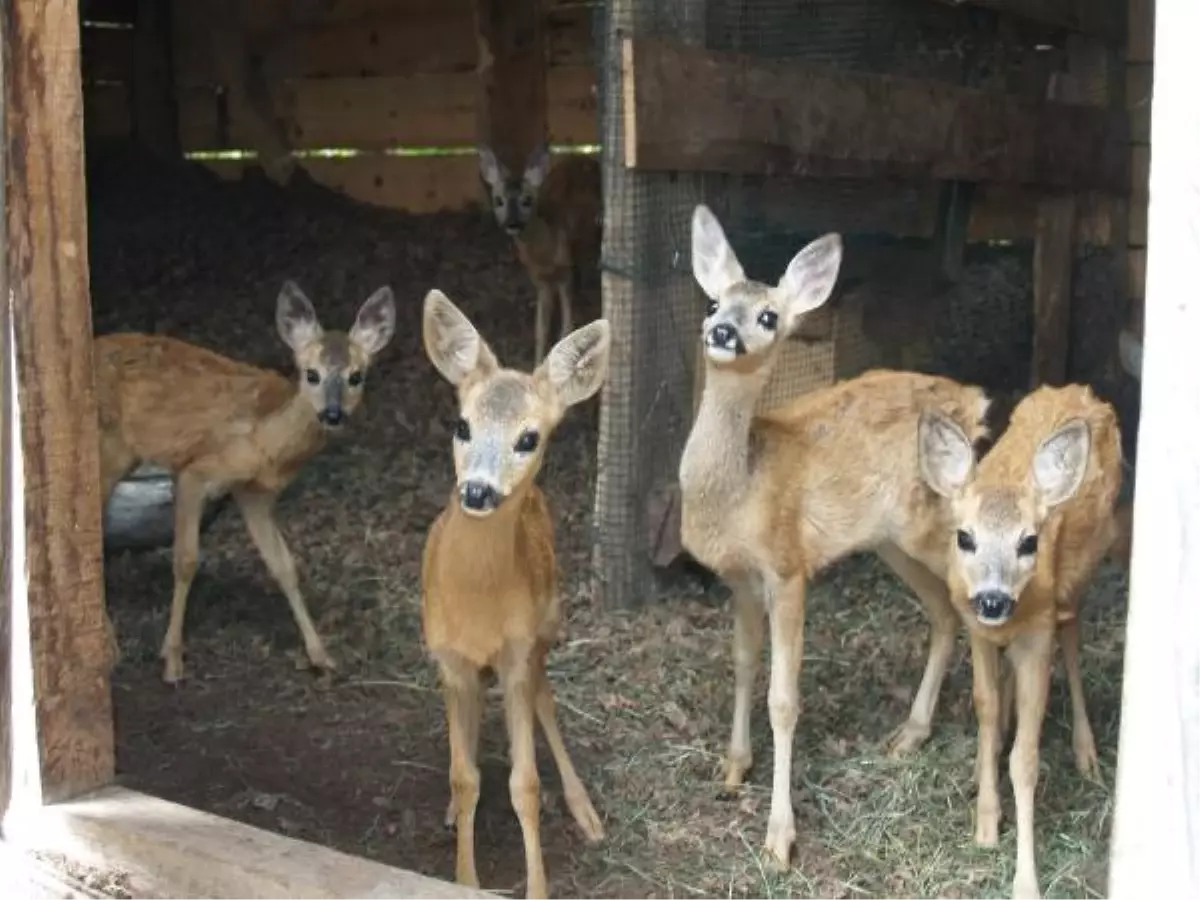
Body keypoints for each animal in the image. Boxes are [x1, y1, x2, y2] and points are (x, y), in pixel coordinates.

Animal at [94, 282, 393, 681]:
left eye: (356, 376)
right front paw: (172, 659)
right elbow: (186, 560)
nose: (332, 414)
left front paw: (321, 656)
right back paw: (109, 643)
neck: (264, 440)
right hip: (107, 446)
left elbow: (284, 566)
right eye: (311, 374)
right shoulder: (196, 471)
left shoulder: (254, 494)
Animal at [422, 286, 609, 897]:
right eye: (461, 425)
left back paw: (585, 811)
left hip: (546, 626)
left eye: (529, 437)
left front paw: (538, 885)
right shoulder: (448, 657)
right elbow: (464, 777)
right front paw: (464, 875)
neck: (477, 602)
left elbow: (523, 785)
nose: (477, 491)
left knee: (546, 698)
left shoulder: (518, 650)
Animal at [477, 144, 604, 367]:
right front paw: (536, 365)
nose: (513, 223)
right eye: (498, 201)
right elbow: (540, 330)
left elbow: (566, 328)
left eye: (527, 200)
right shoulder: (539, 279)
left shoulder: (564, 273)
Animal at [681, 206, 998, 873]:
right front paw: (733, 768)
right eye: (716, 301)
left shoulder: (788, 566)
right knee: (943, 614)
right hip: (891, 540)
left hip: (938, 530)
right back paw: (909, 735)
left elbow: (783, 698)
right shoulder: (739, 578)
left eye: (768, 316)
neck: (742, 488)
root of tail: (974, 400)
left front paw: (780, 838)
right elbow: (743, 663)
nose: (721, 331)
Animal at [916, 386, 1123, 900]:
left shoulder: (1038, 633)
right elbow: (985, 708)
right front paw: (987, 823)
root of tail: (1081, 392)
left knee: (1073, 642)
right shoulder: (977, 629)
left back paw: (1086, 754)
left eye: (1029, 541)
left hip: (1080, 580)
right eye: (964, 536)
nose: (993, 598)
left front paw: (1025, 879)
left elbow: (1026, 759)